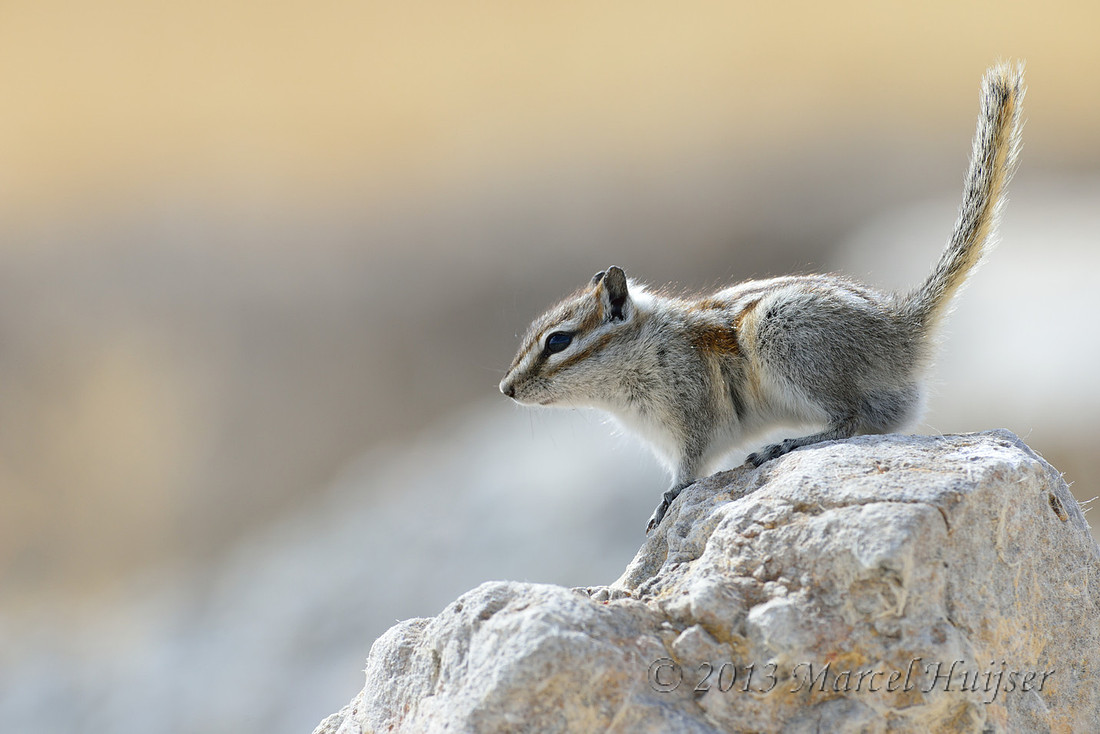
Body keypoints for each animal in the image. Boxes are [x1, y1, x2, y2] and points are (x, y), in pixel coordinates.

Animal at [500, 62, 1024, 534]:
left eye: (557, 342)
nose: (506, 389)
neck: (645, 351)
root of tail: (903, 325)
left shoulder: (693, 416)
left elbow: (689, 468)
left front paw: (668, 498)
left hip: (779, 331)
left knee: (852, 418)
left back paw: (786, 445)